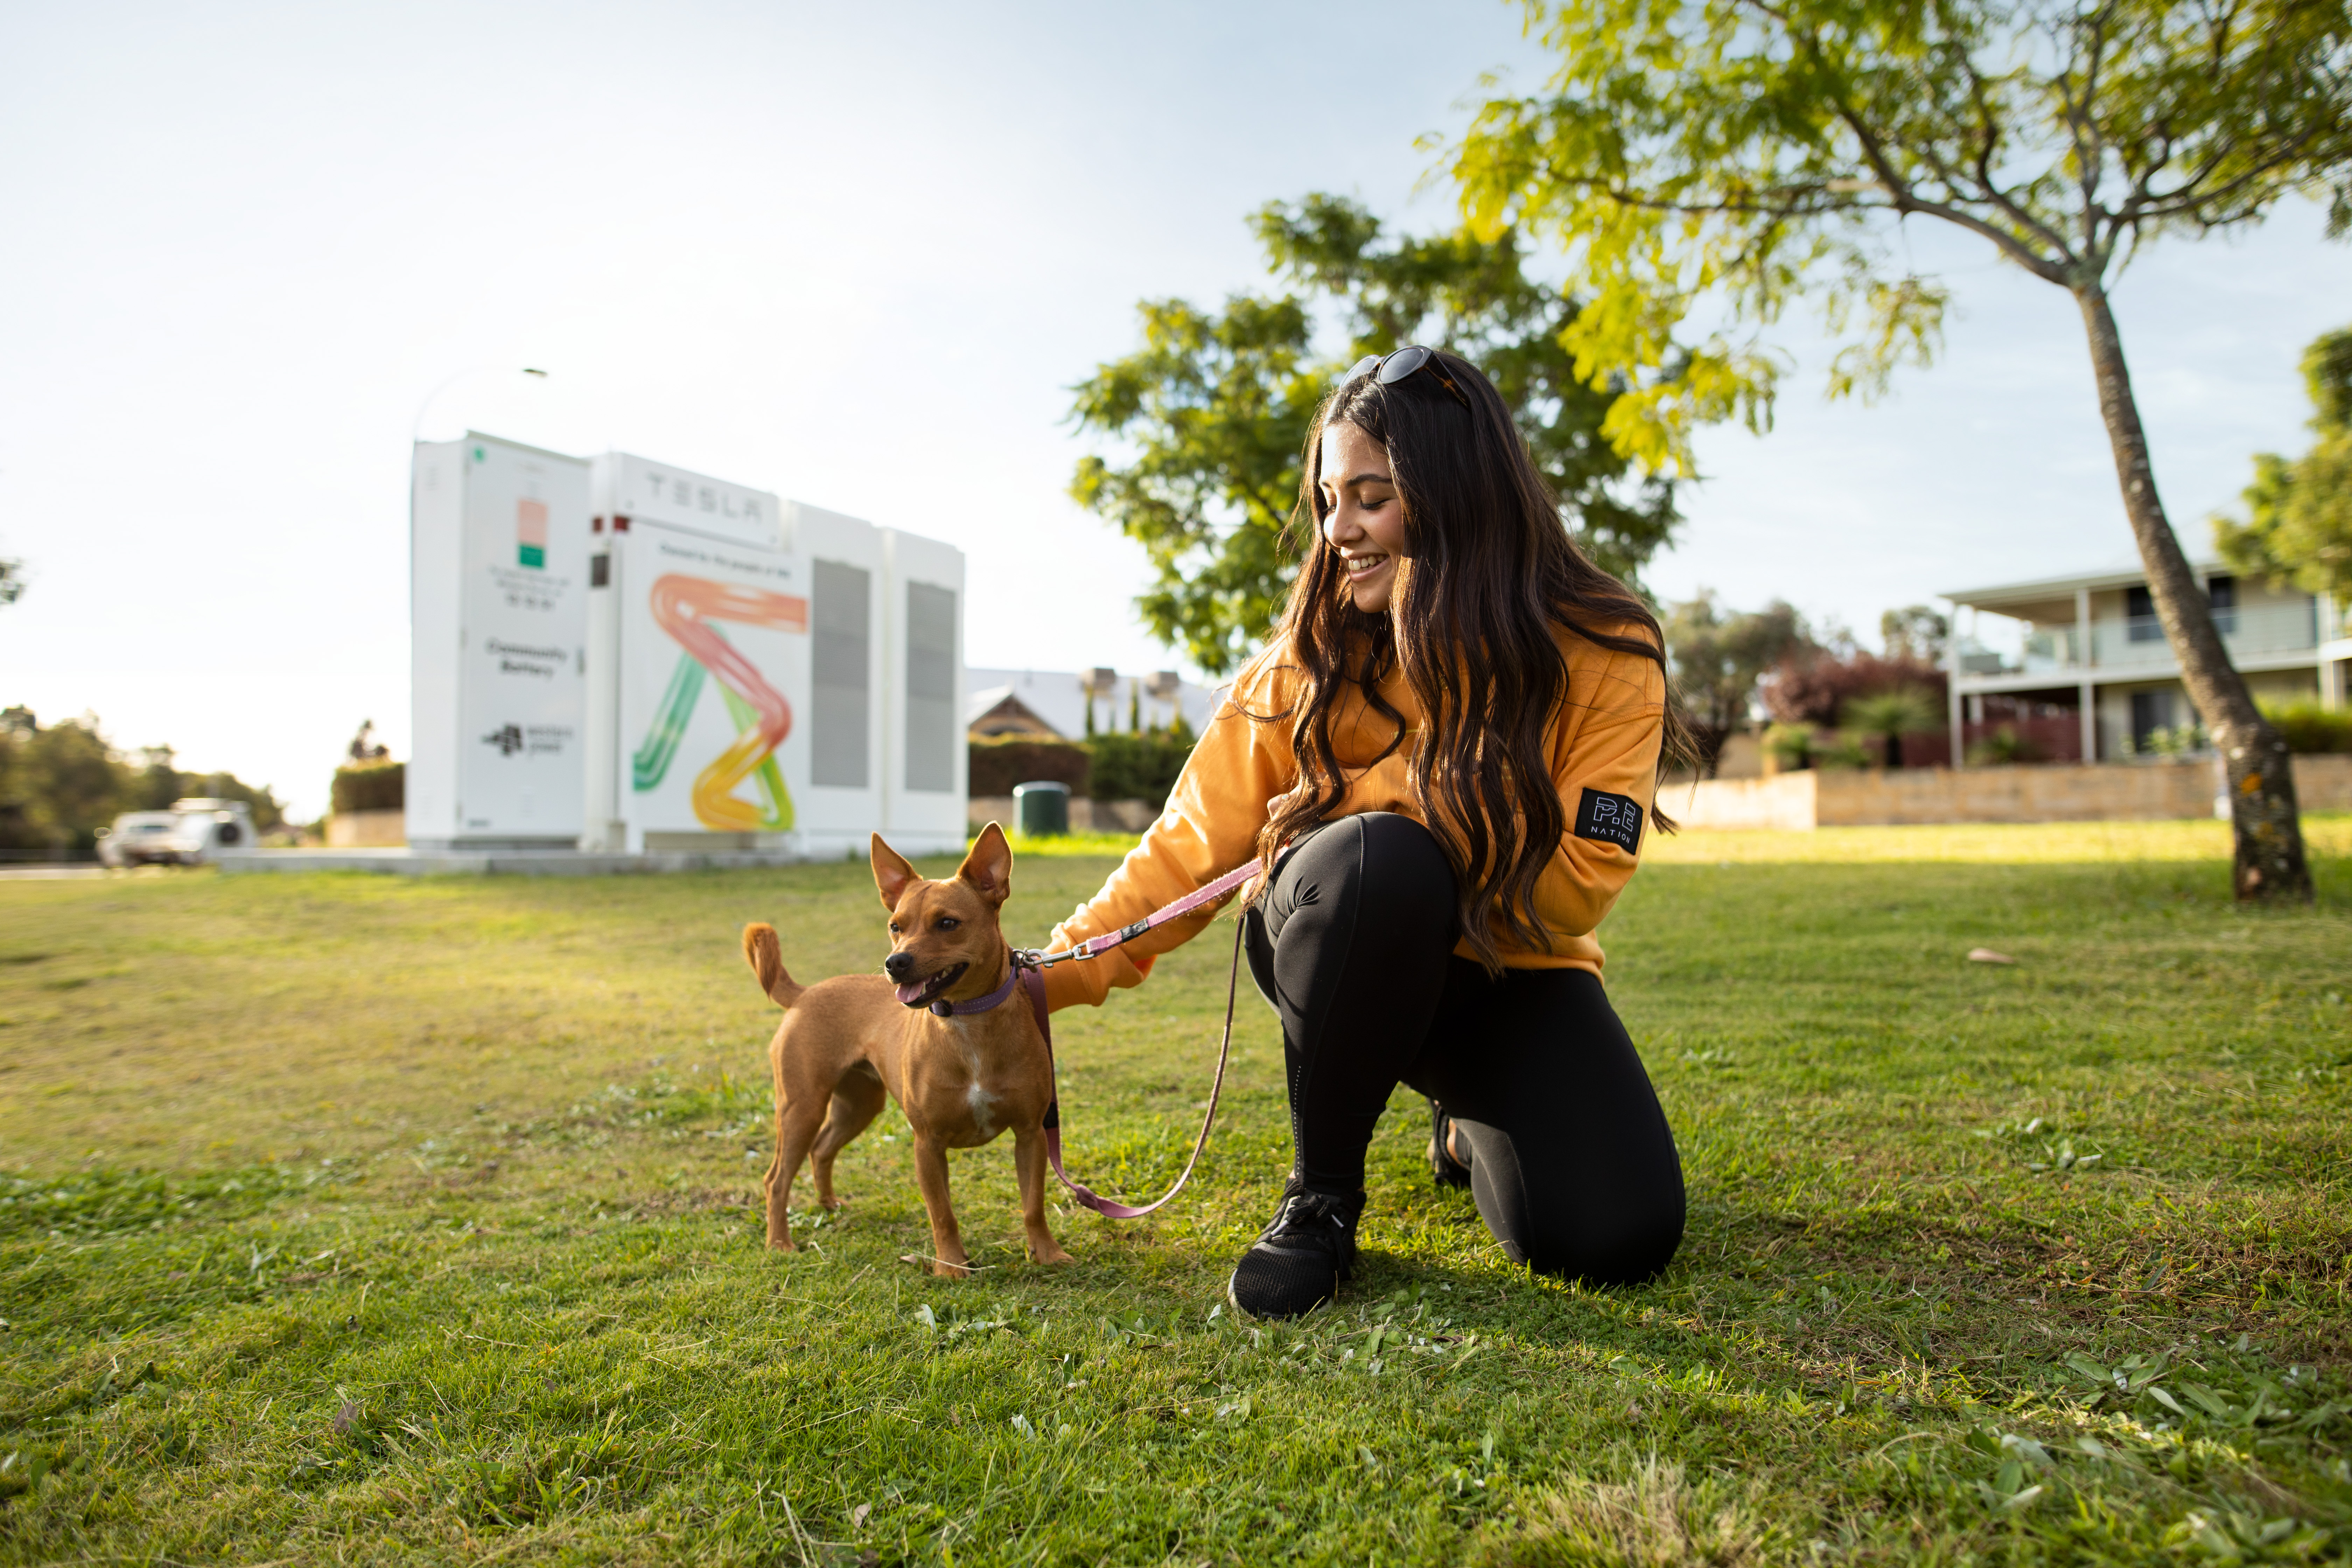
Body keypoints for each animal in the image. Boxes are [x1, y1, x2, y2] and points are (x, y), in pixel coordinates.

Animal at [738, 822, 1072, 1279]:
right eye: (895, 926)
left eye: (948, 923)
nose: (895, 963)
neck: (966, 1024)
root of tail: (805, 993)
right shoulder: (927, 1145)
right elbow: (943, 1213)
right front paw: (951, 1265)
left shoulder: (1031, 1134)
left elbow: (1033, 1205)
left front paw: (1047, 1252)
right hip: (801, 1108)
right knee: (776, 1179)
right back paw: (779, 1242)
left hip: (858, 1105)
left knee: (821, 1149)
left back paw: (828, 1205)